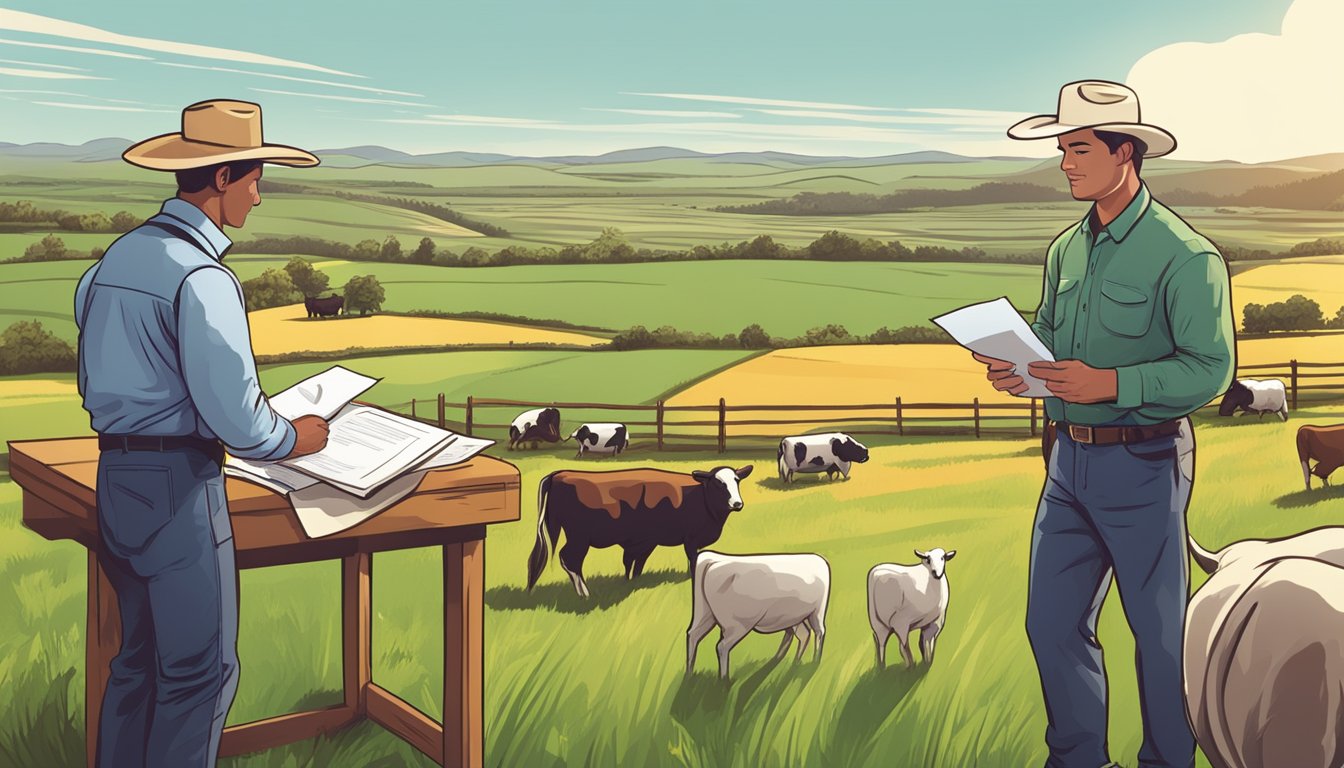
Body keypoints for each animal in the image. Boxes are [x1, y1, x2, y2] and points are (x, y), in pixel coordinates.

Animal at [526, 465, 758, 597]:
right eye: (719, 484)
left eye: (737, 481)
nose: (737, 504)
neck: (698, 495)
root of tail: (560, 474)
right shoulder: (689, 539)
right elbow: (692, 561)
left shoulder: (645, 541)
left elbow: (634, 565)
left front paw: (630, 582)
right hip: (578, 537)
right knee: (570, 559)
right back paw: (584, 593)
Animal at [682, 554, 827, 677]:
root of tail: (713, 559)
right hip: (737, 624)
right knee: (721, 646)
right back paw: (723, 680)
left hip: (705, 614)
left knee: (693, 635)